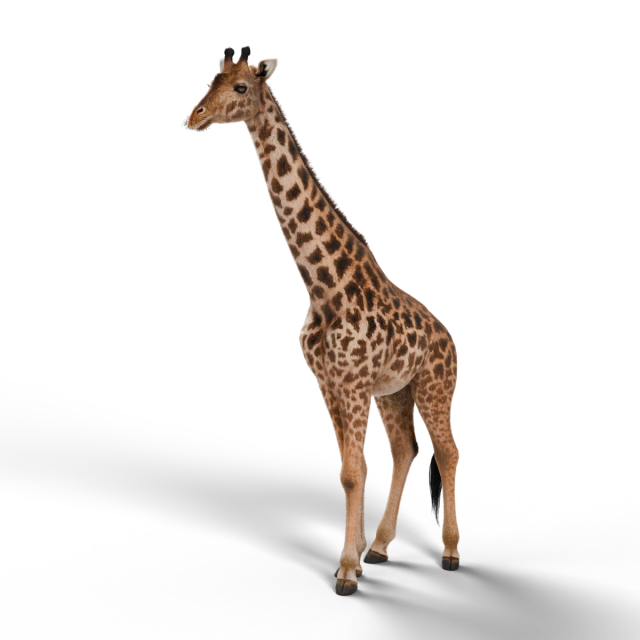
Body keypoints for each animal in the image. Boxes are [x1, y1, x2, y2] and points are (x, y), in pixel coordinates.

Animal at [185, 46, 460, 595]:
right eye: (213, 80)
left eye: (241, 87)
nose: (193, 117)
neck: (323, 285)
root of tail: (451, 341)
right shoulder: (331, 384)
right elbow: (349, 471)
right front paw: (358, 555)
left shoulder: (351, 384)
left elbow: (355, 471)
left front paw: (347, 569)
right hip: (395, 393)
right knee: (406, 450)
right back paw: (381, 545)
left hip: (433, 388)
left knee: (448, 453)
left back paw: (451, 550)